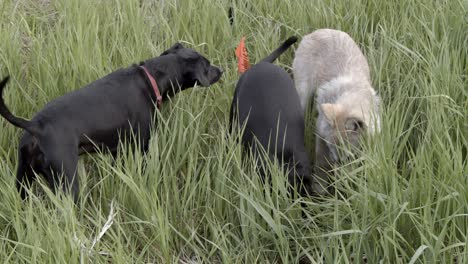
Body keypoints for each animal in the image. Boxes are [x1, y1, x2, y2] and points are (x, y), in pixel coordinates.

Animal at [292, 28, 380, 194]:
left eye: (348, 157)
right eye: (336, 157)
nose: (343, 185)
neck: (352, 92)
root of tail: (315, 32)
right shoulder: (321, 137)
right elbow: (321, 166)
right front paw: (319, 191)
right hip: (302, 97)